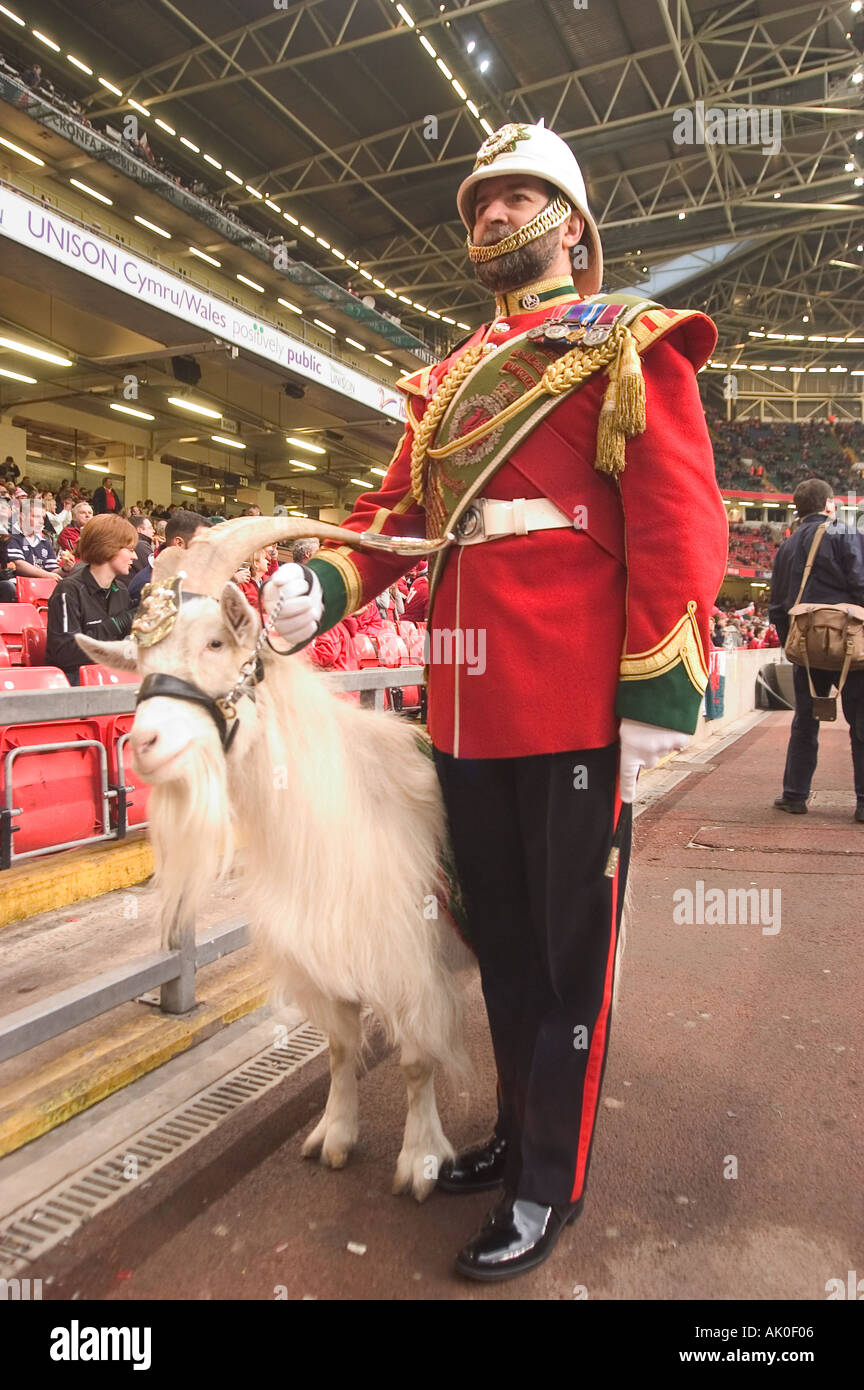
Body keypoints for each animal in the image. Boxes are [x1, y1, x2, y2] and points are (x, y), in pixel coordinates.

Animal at [78, 517, 473, 1202]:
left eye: (215, 641)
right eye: (141, 663)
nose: (146, 743)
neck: (345, 804)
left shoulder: (411, 960)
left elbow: (418, 1059)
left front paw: (421, 1160)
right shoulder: (321, 950)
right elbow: (340, 1049)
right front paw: (334, 1138)